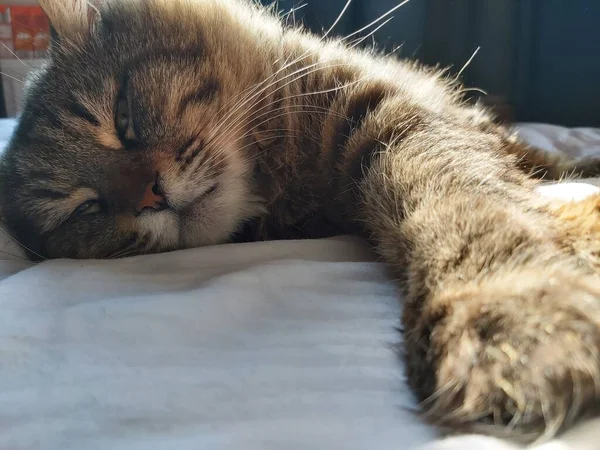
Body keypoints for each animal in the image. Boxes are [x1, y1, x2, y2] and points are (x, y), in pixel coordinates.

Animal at [1, 0, 600, 442]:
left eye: (122, 117)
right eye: (86, 208)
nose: (150, 197)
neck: (287, 182)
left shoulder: (393, 116)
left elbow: (466, 209)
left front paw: (513, 319)